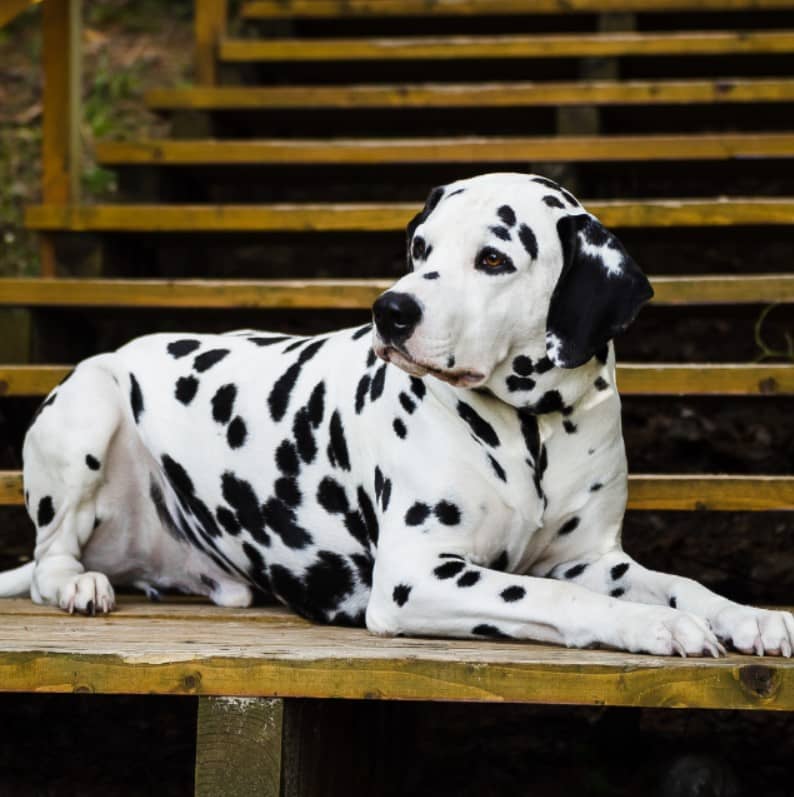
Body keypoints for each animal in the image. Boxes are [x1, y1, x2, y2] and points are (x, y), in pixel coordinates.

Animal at [1, 171, 792, 656]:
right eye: (421, 247)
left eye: (495, 259)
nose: (391, 310)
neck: (532, 427)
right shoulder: (417, 576)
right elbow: (555, 597)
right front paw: (654, 624)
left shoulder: (595, 560)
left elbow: (681, 583)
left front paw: (746, 614)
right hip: (91, 404)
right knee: (48, 560)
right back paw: (77, 583)